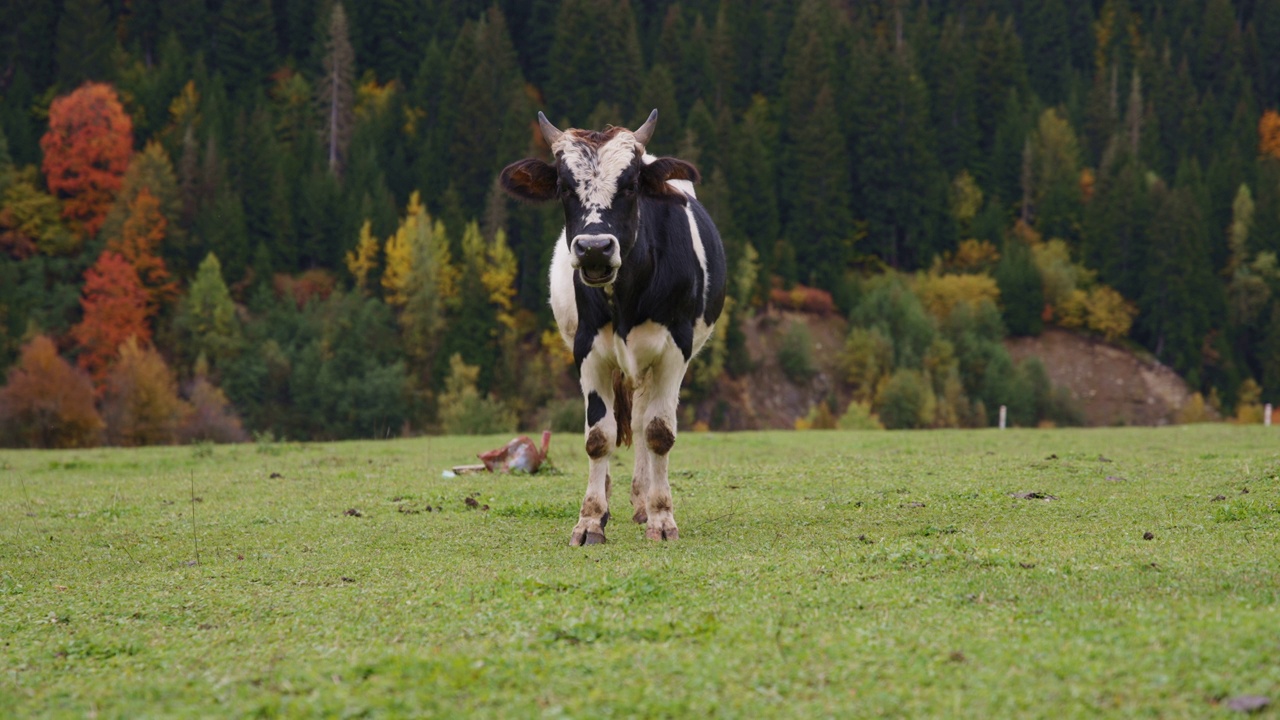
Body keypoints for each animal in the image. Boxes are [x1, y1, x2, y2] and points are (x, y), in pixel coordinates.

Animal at [496, 107, 727, 543]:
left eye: (632, 185)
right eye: (563, 187)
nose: (594, 249)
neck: (626, 296)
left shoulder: (675, 349)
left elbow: (658, 432)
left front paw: (661, 517)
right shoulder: (587, 349)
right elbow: (597, 437)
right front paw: (590, 520)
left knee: (641, 420)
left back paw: (642, 500)